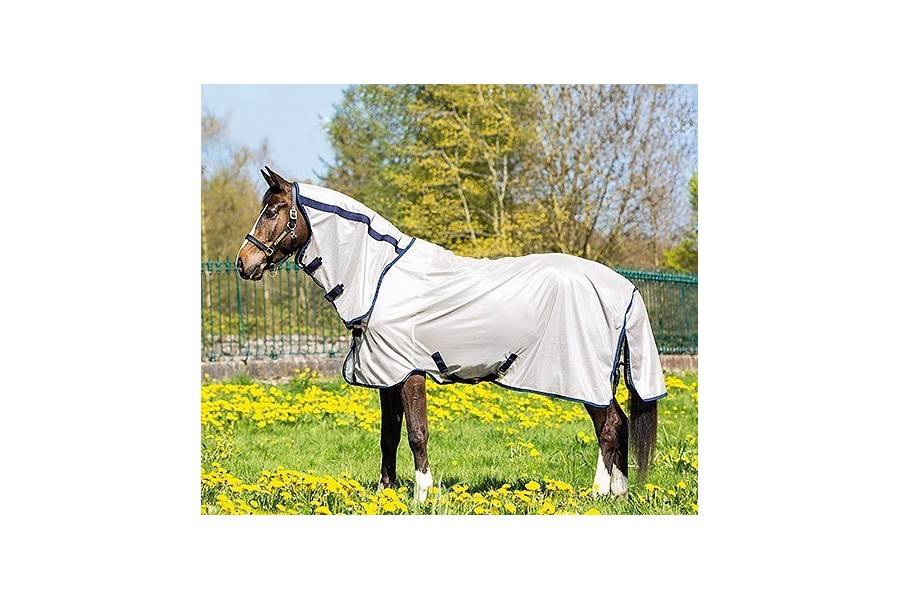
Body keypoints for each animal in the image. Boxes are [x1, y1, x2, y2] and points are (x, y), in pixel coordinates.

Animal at [236, 166, 665, 502]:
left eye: (272, 211)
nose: (243, 263)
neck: (380, 278)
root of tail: (623, 287)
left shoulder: (408, 372)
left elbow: (416, 433)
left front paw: (423, 495)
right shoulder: (387, 374)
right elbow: (389, 436)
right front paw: (386, 493)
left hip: (585, 376)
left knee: (608, 427)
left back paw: (598, 493)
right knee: (619, 424)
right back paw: (618, 493)